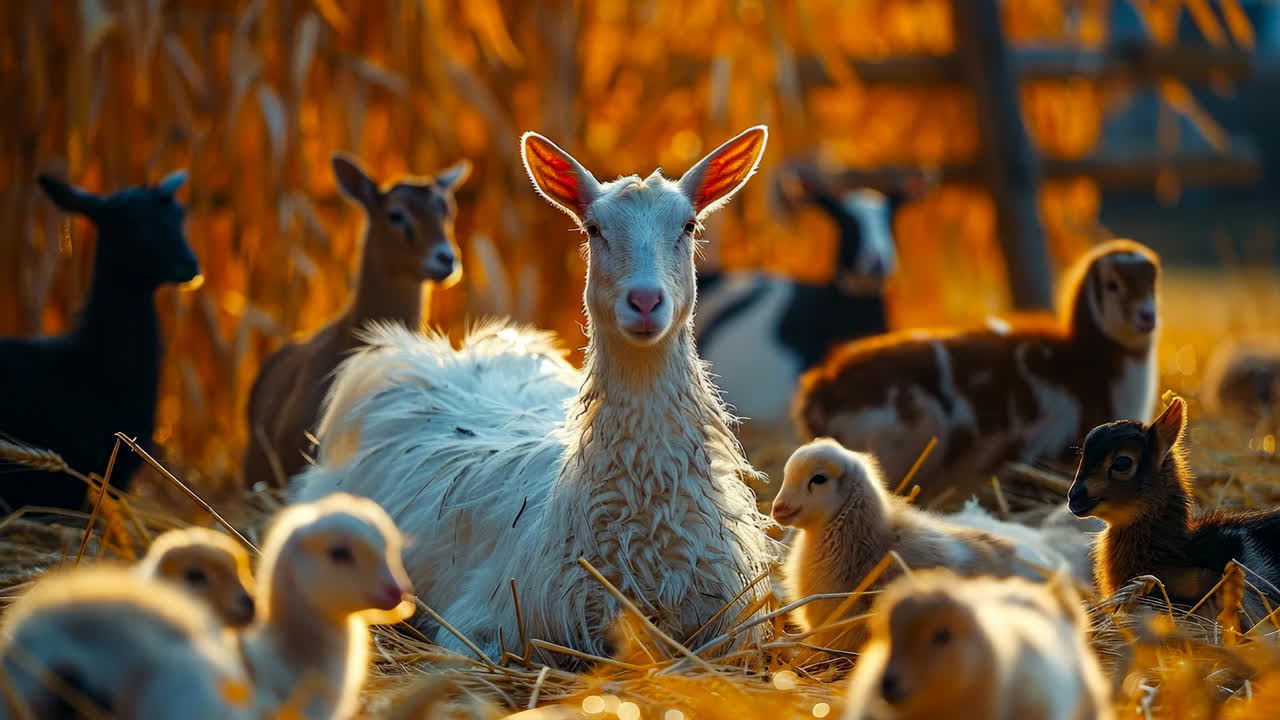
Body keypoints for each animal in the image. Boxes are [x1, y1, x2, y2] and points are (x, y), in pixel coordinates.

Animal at [293, 127, 777, 663]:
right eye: (593, 229)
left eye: (689, 225)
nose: (646, 301)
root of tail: (449, 355)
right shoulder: (479, 623)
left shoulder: (727, 625)